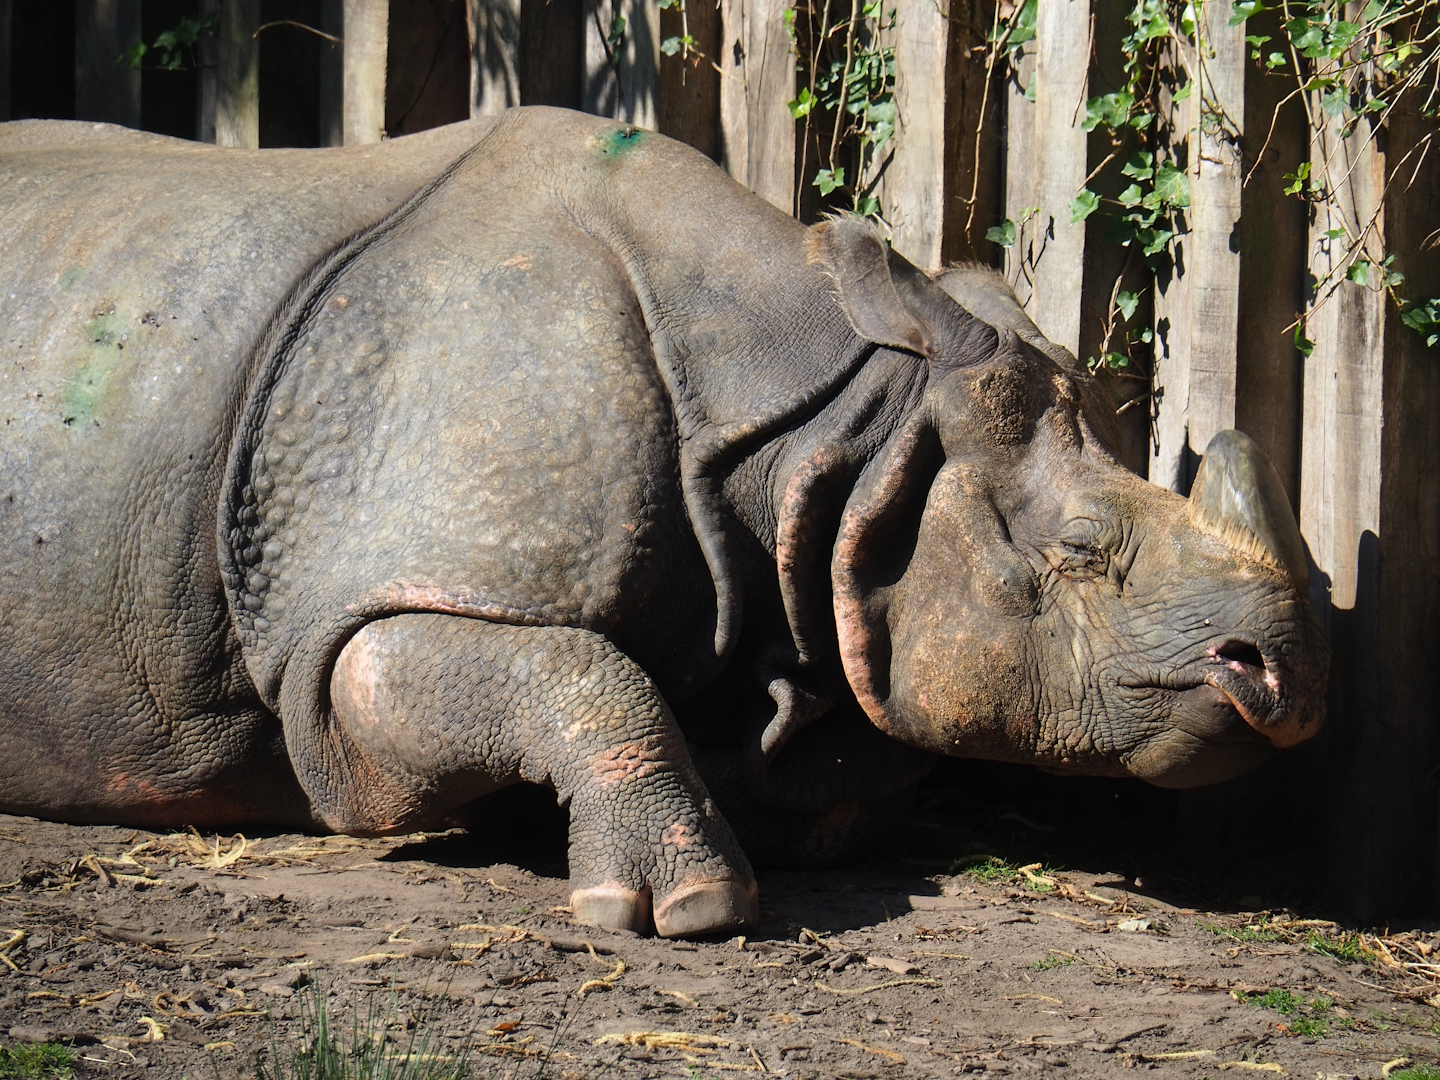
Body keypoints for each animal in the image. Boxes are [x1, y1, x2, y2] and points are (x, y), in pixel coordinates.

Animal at [0, 107, 1326, 938]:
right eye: (1084, 554)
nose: (1287, 682)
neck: (832, 432)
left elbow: (829, 763)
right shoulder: (363, 613)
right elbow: (562, 670)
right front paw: (681, 909)